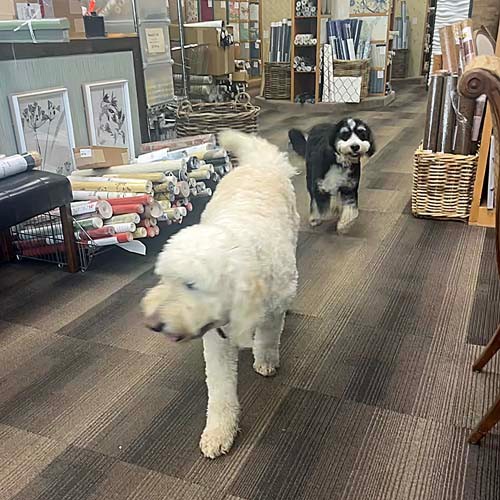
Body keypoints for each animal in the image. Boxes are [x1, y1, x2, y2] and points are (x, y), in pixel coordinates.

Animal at [142, 129, 296, 458]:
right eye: (163, 279)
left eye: (191, 285)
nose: (153, 323)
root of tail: (260, 163)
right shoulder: (216, 338)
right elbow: (220, 389)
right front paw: (219, 431)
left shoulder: (272, 309)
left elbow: (267, 338)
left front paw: (266, 360)